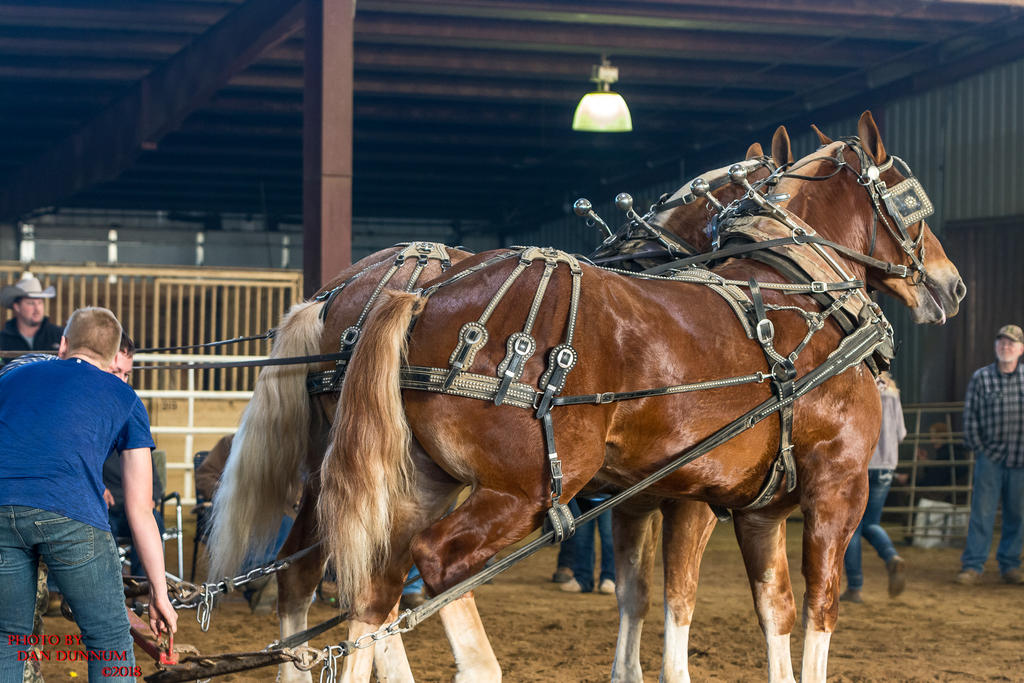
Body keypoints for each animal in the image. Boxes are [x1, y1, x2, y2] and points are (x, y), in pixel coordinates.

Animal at [321, 113, 966, 683]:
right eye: (913, 200)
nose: (952, 284)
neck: (803, 288)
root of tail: (422, 299)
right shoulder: (830, 487)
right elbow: (808, 610)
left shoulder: (744, 506)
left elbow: (757, 607)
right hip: (523, 491)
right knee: (439, 563)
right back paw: (480, 665)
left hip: (420, 481)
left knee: (376, 584)